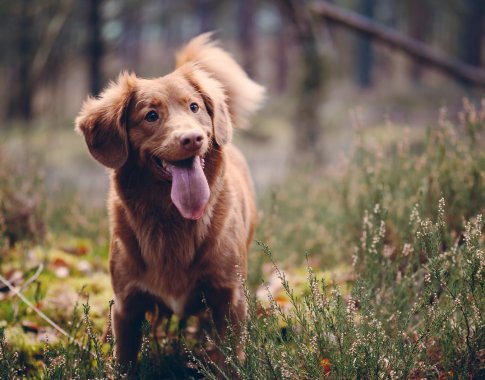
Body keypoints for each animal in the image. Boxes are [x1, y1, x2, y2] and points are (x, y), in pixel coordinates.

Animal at [75, 33, 264, 368]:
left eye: (194, 107)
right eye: (151, 115)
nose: (192, 139)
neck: (172, 219)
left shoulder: (229, 299)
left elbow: (229, 361)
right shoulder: (127, 306)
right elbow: (124, 362)